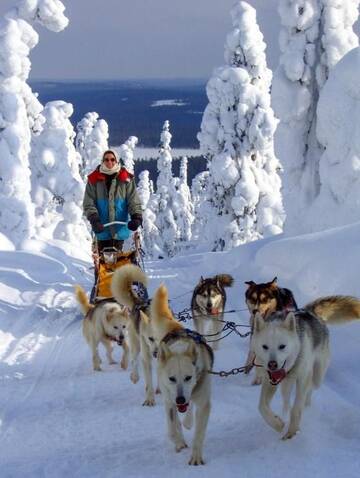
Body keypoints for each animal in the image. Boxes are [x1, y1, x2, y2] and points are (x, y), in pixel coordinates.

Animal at [111, 264, 159, 406]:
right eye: (150, 338)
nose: (156, 353)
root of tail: (138, 302)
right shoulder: (146, 357)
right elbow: (149, 381)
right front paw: (150, 399)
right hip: (136, 345)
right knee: (133, 360)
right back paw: (135, 376)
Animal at [152, 282, 214, 464]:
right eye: (171, 378)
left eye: (188, 377)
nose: (180, 399)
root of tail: (176, 327)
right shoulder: (169, 401)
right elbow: (172, 428)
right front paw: (179, 443)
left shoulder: (203, 404)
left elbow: (199, 433)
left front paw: (196, 457)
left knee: (189, 408)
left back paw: (187, 421)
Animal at [252, 296, 360, 440]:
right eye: (265, 347)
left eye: (282, 346)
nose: (272, 364)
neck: (289, 369)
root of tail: (310, 312)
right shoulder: (270, 381)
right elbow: (262, 407)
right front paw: (277, 424)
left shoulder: (303, 378)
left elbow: (296, 407)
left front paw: (292, 431)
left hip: (317, 376)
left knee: (310, 390)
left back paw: (307, 407)